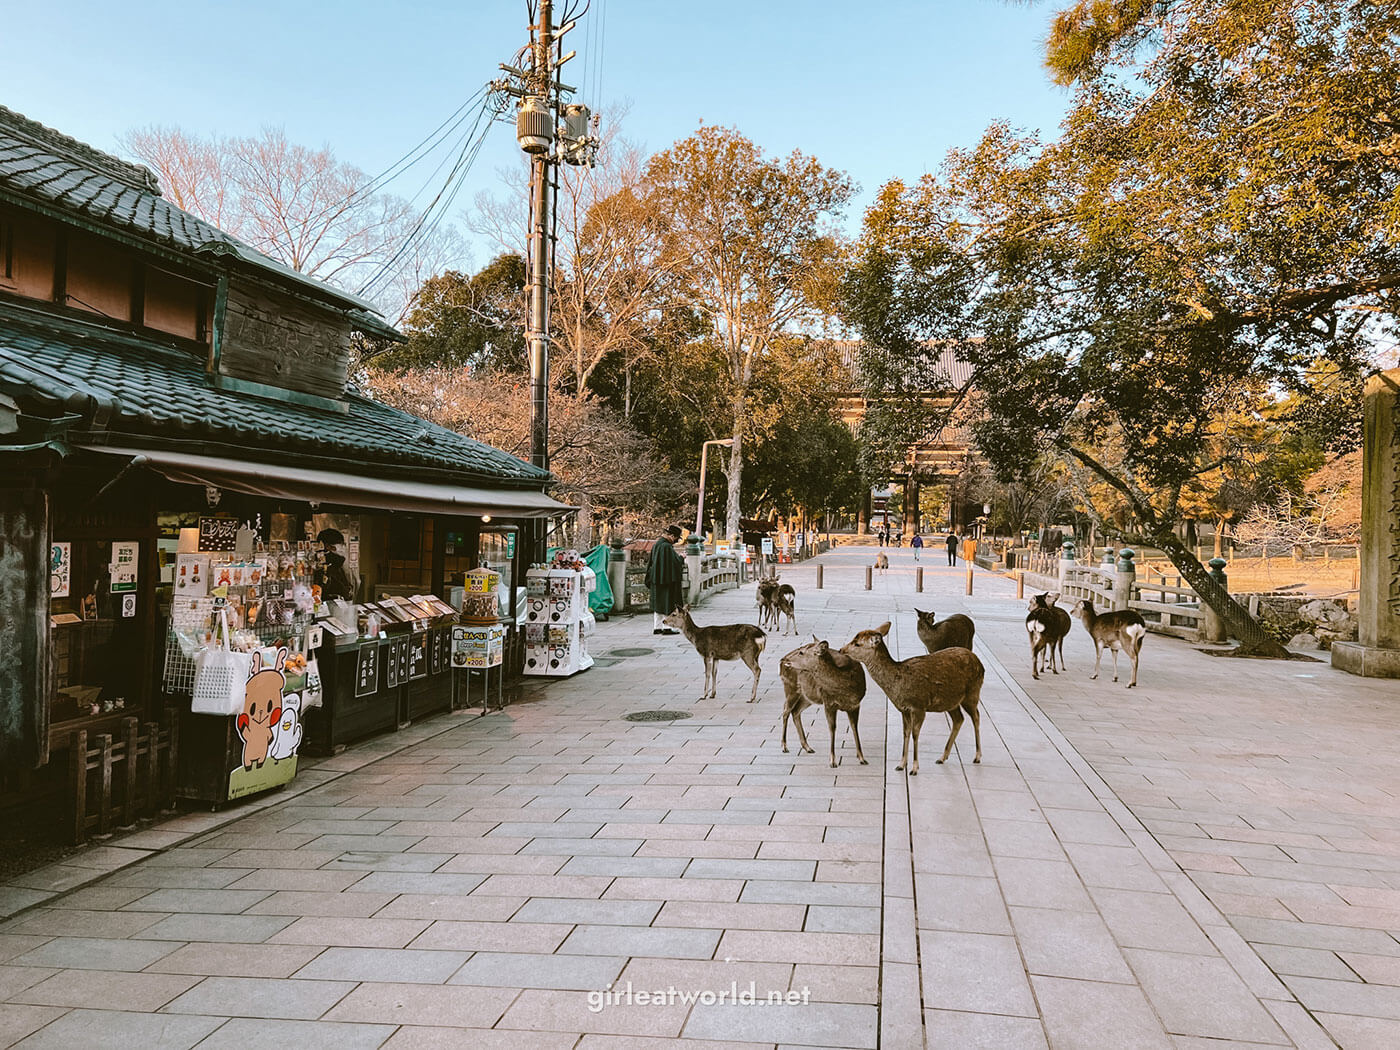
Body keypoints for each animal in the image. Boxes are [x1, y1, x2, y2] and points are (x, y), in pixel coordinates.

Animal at [778, 638, 862, 767]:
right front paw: (832, 761)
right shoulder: (828, 702)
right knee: (785, 711)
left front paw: (862, 758)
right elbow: (832, 728)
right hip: (790, 687)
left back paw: (807, 747)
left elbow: (854, 727)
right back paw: (784, 746)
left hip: (808, 696)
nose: (784, 660)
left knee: (795, 711)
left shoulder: (855, 705)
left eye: (801, 652)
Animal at [840, 621, 985, 778]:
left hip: (972, 692)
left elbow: (915, 734)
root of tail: (980, 663)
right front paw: (901, 765)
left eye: (857, 643)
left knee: (976, 716)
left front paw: (914, 769)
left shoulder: (919, 706)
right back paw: (942, 757)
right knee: (959, 719)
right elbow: (906, 733)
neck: (897, 686)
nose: (841, 650)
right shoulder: (904, 709)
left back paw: (977, 756)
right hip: (951, 701)